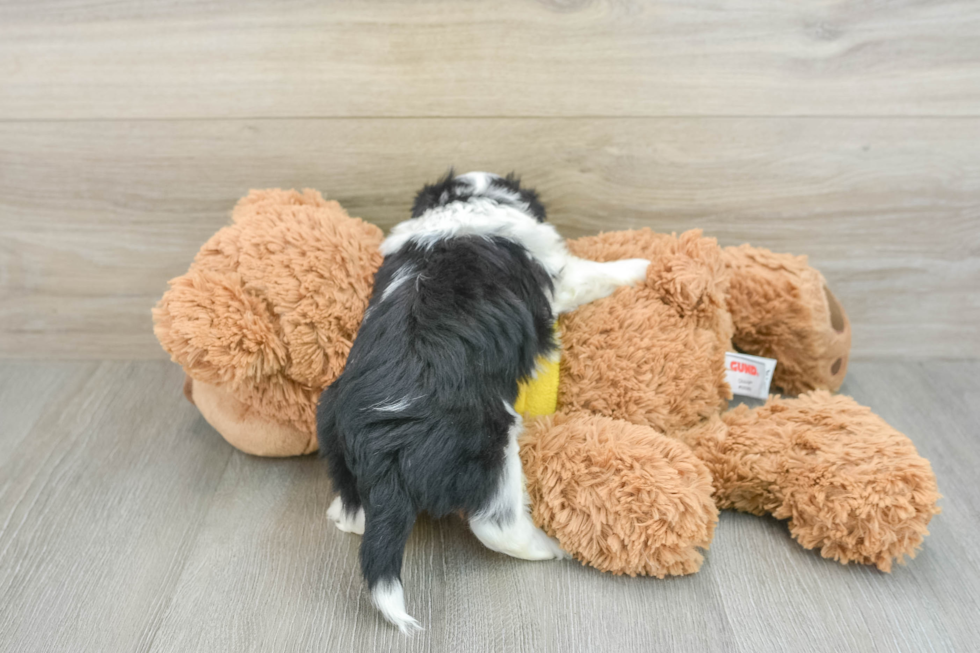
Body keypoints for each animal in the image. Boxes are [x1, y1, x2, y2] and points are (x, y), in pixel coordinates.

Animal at [318, 172, 648, 632]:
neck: (464, 205)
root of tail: (385, 444)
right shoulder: (560, 276)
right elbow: (594, 273)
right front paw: (640, 264)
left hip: (335, 437)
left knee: (354, 514)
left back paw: (347, 513)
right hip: (491, 449)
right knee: (498, 525)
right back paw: (551, 547)